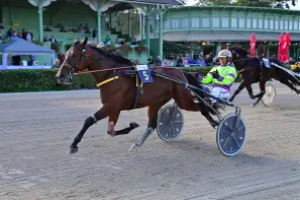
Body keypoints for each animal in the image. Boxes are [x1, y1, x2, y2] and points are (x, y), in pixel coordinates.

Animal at [55, 37, 220, 153]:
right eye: (66, 54)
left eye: (74, 54)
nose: (59, 75)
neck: (113, 73)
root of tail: (180, 71)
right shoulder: (114, 108)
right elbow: (110, 131)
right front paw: (131, 126)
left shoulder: (112, 105)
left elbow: (89, 120)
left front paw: (74, 144)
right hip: (156, 102)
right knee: (153, 124)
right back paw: (137, 143)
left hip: (183, 98)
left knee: (203, 106)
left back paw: (217, 122)